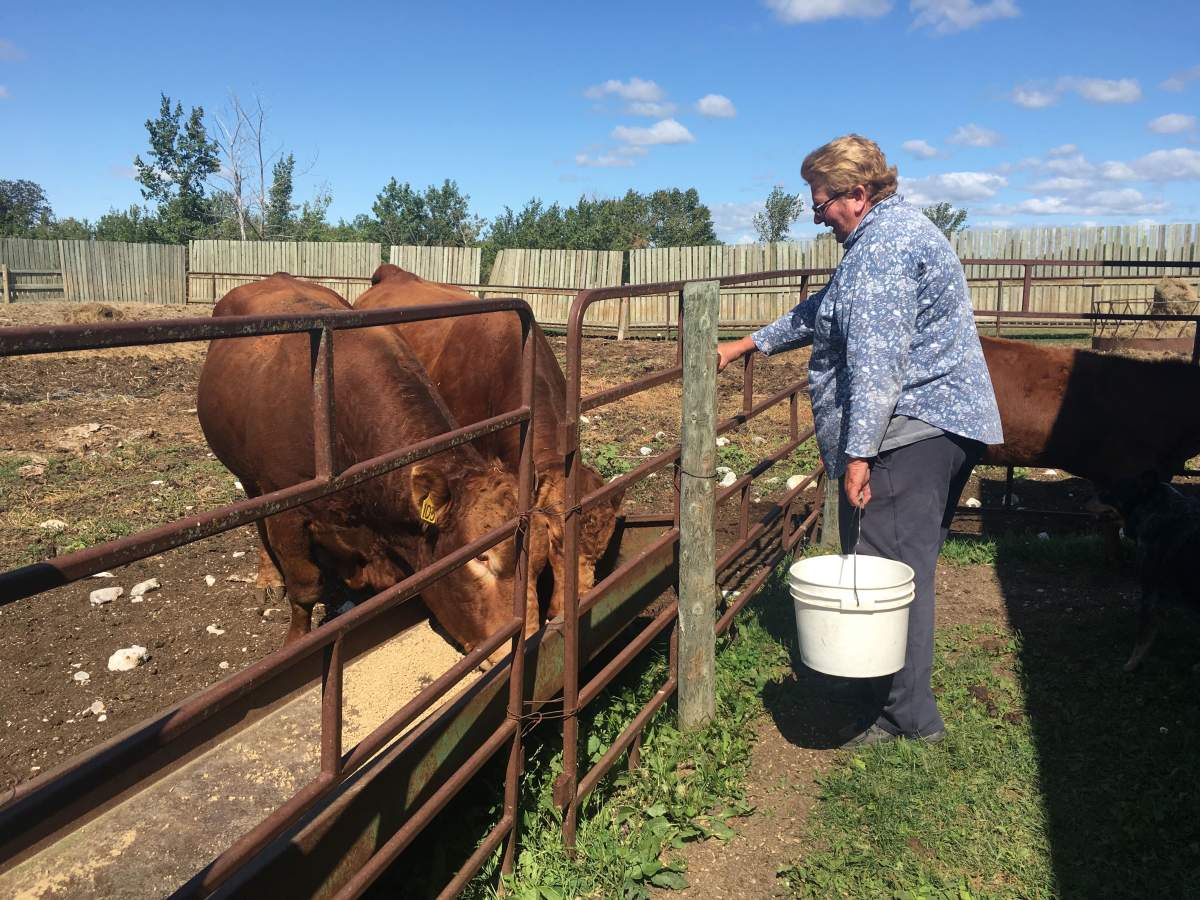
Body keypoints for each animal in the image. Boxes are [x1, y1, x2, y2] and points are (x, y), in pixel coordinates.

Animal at [196, 274, 550, 664]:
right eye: (481, 559)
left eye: (540, 562)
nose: (528, 642)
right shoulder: (287, 512)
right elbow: (304, 588)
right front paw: (295, 645)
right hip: (250, 478)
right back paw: (268, 577)